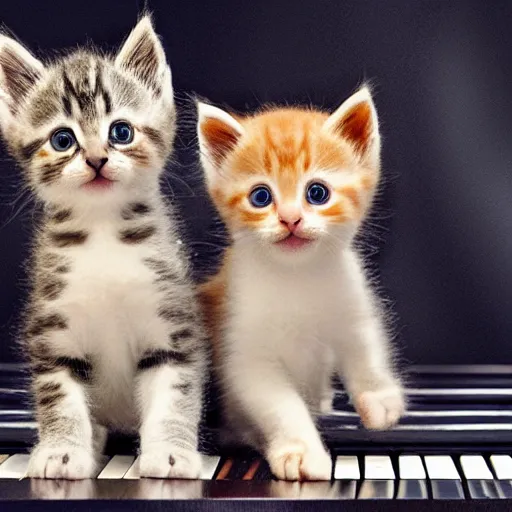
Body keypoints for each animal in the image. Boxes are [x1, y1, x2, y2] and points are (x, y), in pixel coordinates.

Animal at [0, 17, 208, 480]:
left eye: (121, 132)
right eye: (63, 139)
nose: (96, 159)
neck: (104, 233)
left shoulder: (171, 323)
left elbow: (175, 393)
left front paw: (171, 452)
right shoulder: (53, 330)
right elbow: (59, 395)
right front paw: (62, 450)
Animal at [196, 86, 404, 482]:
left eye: (317, 193)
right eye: (261, 196)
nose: (290, 219)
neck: (297, 275)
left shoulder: (351, 301)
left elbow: (364, 346)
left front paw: (379, 398)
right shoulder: (246, 353)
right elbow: (280, 404)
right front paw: (300, 451)